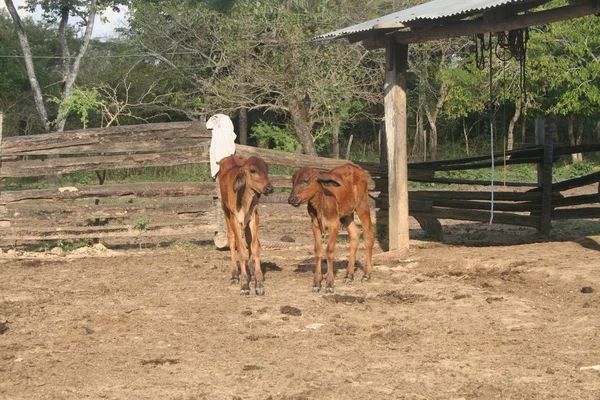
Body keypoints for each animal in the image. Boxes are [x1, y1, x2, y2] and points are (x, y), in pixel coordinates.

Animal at [217, 155, 274, 296]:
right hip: (225, 210)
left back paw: (252, 274)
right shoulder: (235, 220)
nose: (269, 188)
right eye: (253, 170)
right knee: (231, 240)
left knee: (248, 240)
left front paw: (259, 283)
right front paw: (244, 285)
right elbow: (241, 250)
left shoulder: (254, 217)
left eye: (266, 169)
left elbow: (255, 247)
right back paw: (234, 275)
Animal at [288, 163, 376, 294]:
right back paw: (349, 276)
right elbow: (318, 251)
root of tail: (355, 166)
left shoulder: (334, 224)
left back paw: (366, 275)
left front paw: (329, 283)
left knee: (368, 232)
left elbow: (329, 251)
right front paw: (317, 283)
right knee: (355, 234)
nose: (291, 199)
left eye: (306, 180)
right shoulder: (315, 225)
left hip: (362, 205)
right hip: (346, 214)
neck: (320, 203)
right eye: (293, 181)